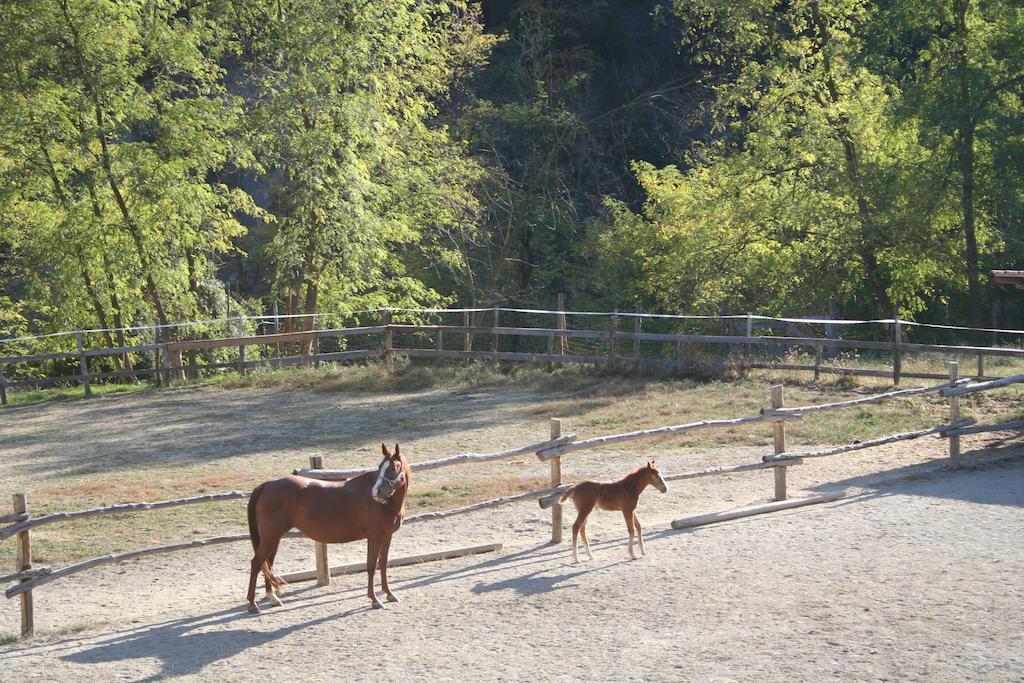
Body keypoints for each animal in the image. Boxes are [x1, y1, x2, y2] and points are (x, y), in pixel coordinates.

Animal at [245, 444, 409, 614]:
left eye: (393, 468)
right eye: (380, 467)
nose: (376, 492)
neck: (387, 504)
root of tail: (266, 485)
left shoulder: (387, 536)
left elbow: (383, 564)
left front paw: (389, 594)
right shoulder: (374, 537)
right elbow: (371, 566)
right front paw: (375, 600)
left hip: (273, 538)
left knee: (267, 564)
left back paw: (272, 598)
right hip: (270, 538)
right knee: (256, 563)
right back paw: (253, 604)